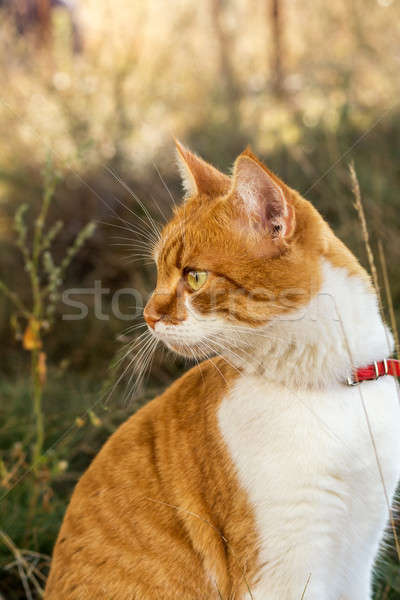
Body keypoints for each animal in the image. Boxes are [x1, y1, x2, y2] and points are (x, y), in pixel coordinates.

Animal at [44, 142, 400, 600]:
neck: (327, 388)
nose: (148, 315)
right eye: (158, 271)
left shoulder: (358, 556)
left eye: (194, 277)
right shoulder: (281, 571)